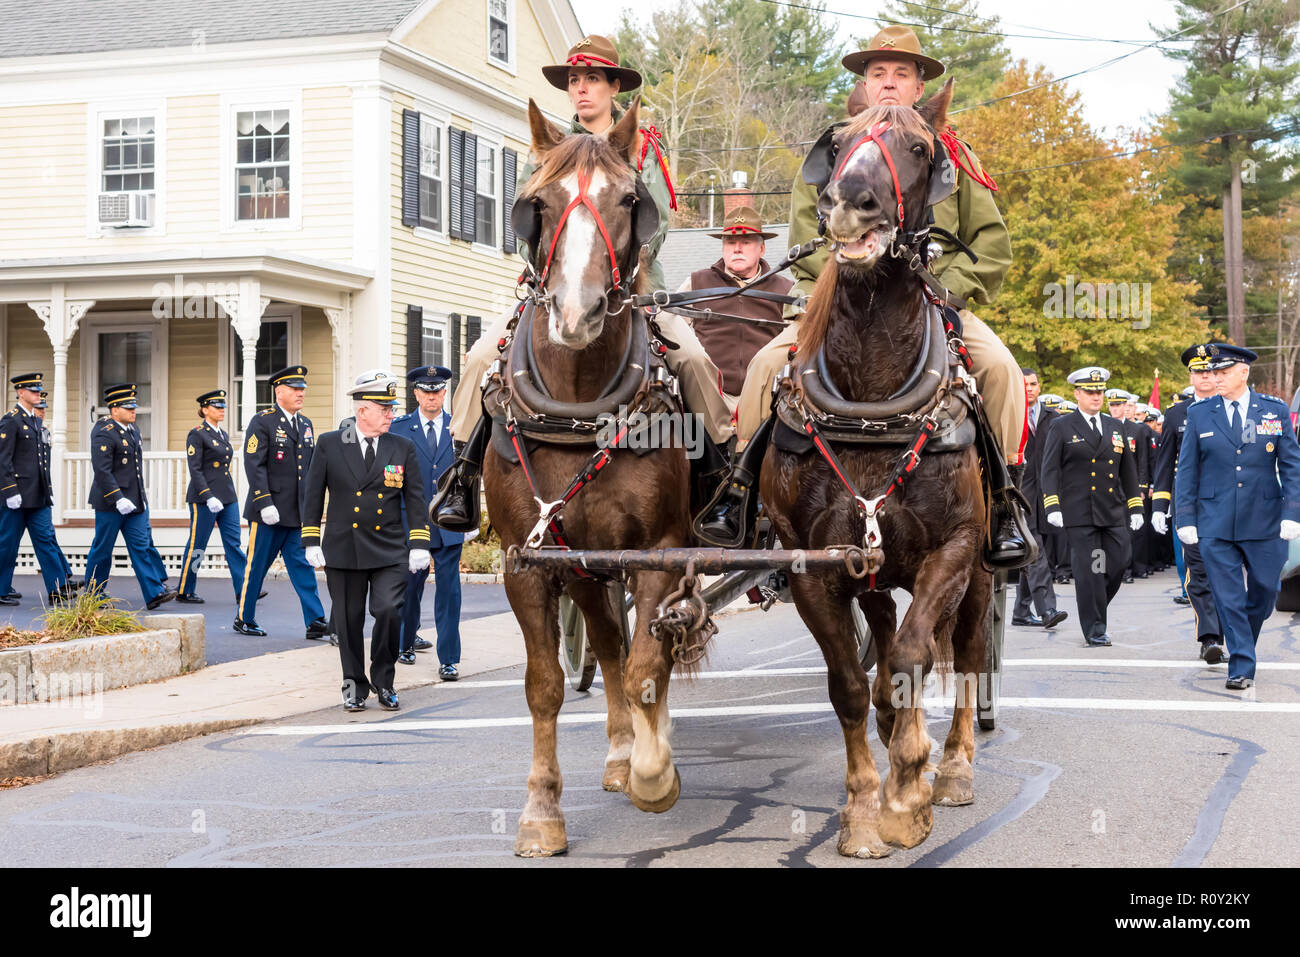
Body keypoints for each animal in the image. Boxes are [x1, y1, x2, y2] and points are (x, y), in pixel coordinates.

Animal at [486, 98, 691, 858]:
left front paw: (656, 773)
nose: (577, 313)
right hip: (584, 566)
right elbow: (546, 684)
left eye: (629, 200)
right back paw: (619, 750)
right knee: (605, 643)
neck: (578, 404)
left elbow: (646, 667)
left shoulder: (659, 550)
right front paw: (542, 811)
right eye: (537, 205)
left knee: (641, 652)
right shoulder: (531, 561)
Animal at [759, 82, 987, 858]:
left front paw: (910, 786)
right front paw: (863, 811)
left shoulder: (954, 549)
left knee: (968, 652)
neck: (870, 399)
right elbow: (851, 685)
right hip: (875, 571)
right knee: (884, 638)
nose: (847, 201)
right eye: (838, 142)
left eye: (918, 146)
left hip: (984, 569)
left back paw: (954, 768)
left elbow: (917, 656)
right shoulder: (816, 566)